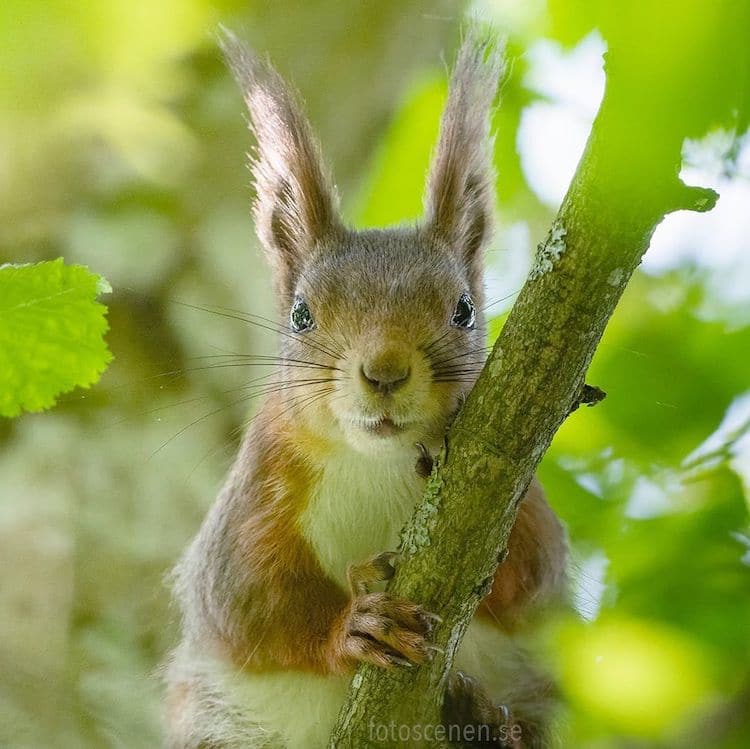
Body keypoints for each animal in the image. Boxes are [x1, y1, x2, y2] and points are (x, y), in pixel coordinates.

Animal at [167, 27, 568, 748]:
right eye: (301, 315)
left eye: (464, 309)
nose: (384, 372)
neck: (377, 462)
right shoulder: (252, 504)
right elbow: (250, 607)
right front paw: (355, 618)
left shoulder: (530, 512)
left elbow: (532, 581)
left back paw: (486, 719)